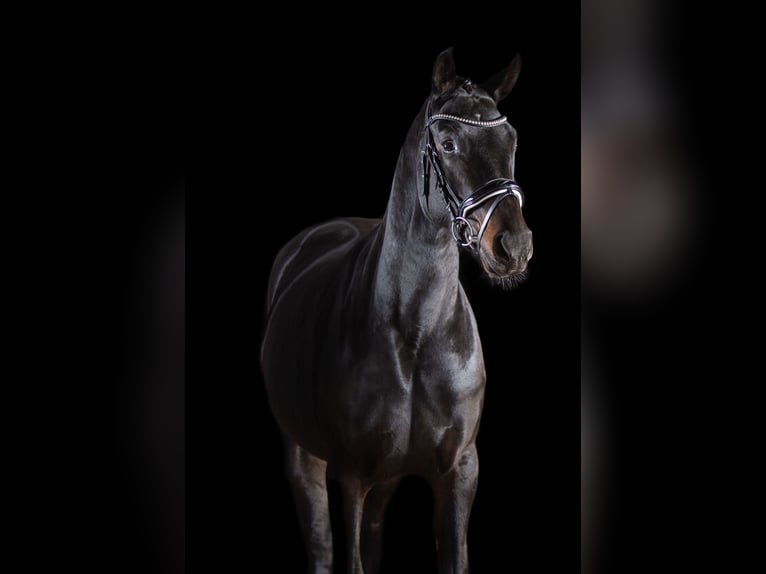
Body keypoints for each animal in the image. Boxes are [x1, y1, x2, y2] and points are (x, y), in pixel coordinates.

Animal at [262, 50, 536, 574]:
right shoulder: (352, 477)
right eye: (447, 144)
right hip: (303, 457)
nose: (513, 247)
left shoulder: (459, 474)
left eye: (510, 140)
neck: (416, 335)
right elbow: (347, 557)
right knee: (322, 547)